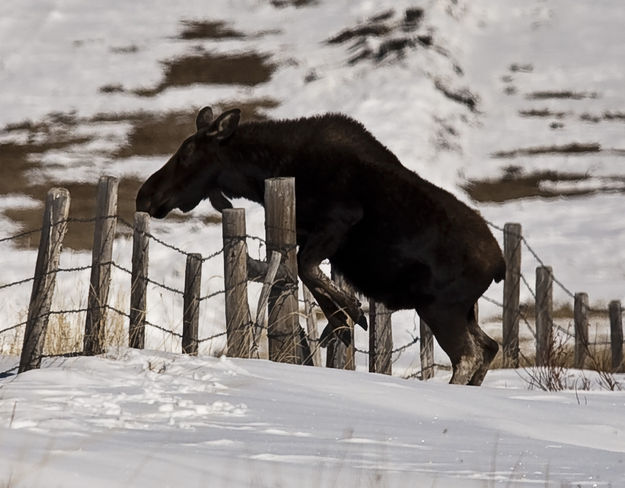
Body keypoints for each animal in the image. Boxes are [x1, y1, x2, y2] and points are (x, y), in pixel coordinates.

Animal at [134, 107, 504, 386]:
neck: (265, 173)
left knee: (468, 356)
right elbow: (305, 273)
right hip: (463, 310)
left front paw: (347, 316)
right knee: (488, 346)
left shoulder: (338, 221)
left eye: (187, 152)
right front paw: (341, 321)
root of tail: (499, 264)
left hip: (441, 308)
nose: (144, 196)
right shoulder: (308, 234)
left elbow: (306, 268)